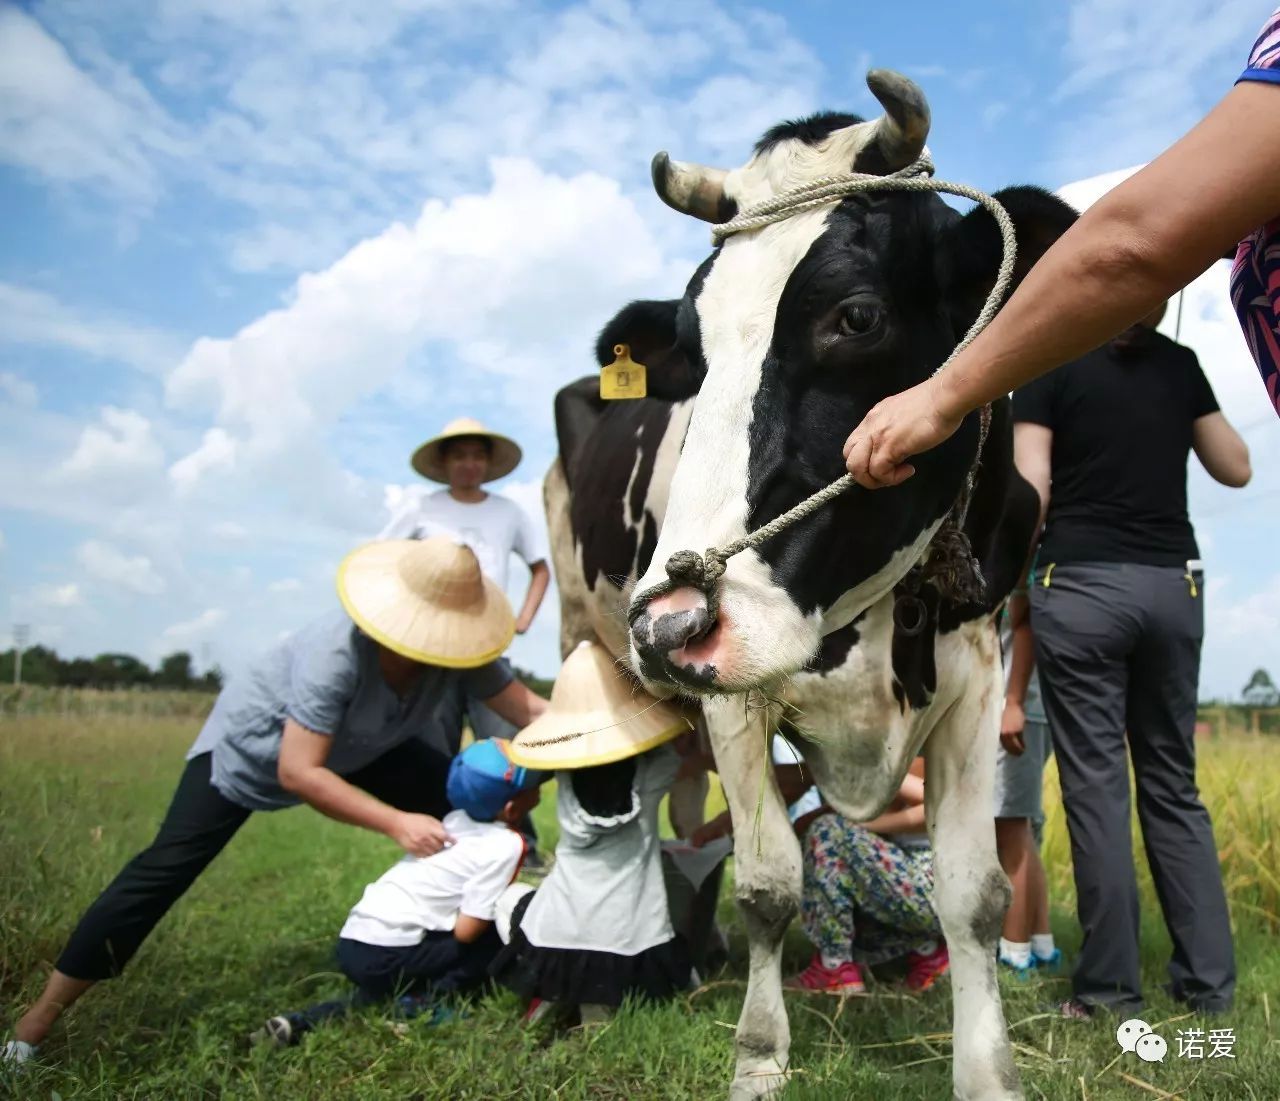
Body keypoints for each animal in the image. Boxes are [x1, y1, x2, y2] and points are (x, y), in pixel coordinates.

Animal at [545, 71, 1075, 1101]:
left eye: (856, 316)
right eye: (690, 351)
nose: (669, 627)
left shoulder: (977, 673)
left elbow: (974, 894)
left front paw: (987, 1071)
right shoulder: (734, 693)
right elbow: (768, 882)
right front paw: (758, 1057)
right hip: (582, 637)